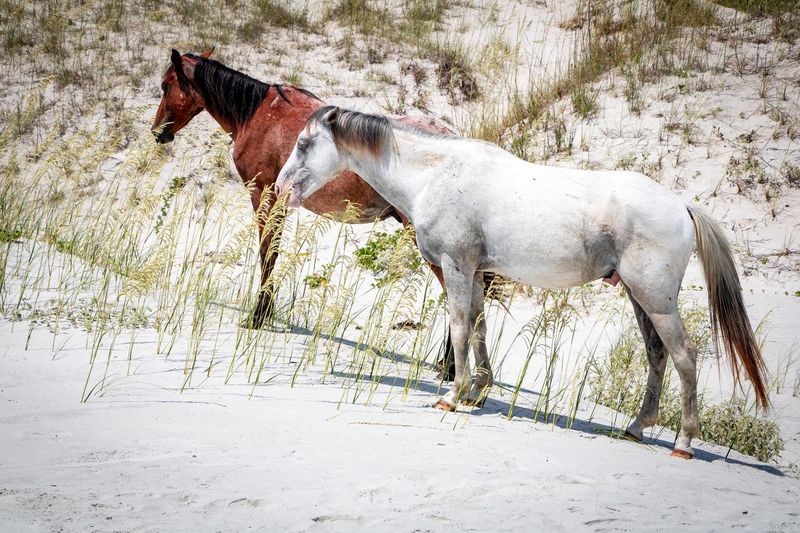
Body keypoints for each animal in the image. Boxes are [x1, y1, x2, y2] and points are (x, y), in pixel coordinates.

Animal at [151, 49, 463, 378]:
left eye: (165, 85)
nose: (158, 132)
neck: (257, 114)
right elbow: (272, 254)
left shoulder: (263, 195)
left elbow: (267, 255)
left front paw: (258, 316)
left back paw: (450, 367)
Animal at [275, 105, 769, 459]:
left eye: (303, 142)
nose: (281, 187)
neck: (435, 174)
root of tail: (681, 205)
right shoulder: (475, 272)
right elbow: (478, 328)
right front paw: (478, 391)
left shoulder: (456, 267)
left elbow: (459, 328)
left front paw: (452, 395)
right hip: (638, 296)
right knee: (657, 355)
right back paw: (636, 427)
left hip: (656, 299)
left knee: (685, 357)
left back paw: (684, 443)